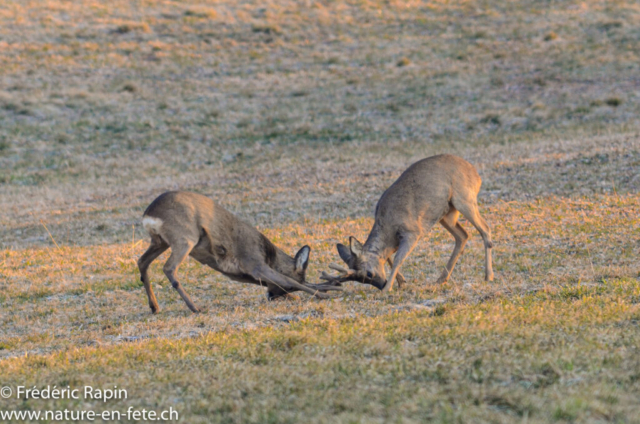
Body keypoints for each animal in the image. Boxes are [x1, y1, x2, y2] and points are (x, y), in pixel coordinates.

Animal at [138, 190, 342, 314]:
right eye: (300, 276)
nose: (271, 296)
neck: (269, 255)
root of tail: (149, 215)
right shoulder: (253, 262)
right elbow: (287, 280)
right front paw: (328, 293)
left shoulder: (239, 274)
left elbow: (275, 281)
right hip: (185, 237)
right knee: (168, 267)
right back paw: (195, 308)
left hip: (160, 241)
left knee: (142, 261)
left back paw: (155, 307)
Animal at [324, 155, 496, 292]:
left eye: (368, 274)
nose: (381, 284)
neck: (388, 228)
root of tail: (476, 175)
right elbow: (388, 258)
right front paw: (401, 282)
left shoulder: (412, 231)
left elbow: (398, 259)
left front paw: (388, 288)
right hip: (447, 213)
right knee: (463, 235)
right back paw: (441, 279)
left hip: (464, 199)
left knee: (485, 228)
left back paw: (488, 276)